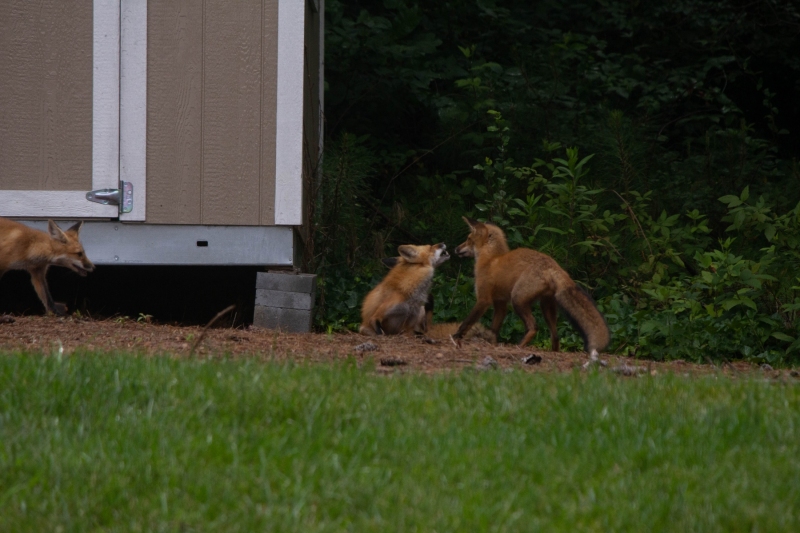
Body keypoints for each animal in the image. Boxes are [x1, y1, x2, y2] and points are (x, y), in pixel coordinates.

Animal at [451, 217, 610, 359]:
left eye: (468, 239)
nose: (455, 249)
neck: (490, 259)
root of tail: (554, 266)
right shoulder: (501, 304)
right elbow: (494, 328)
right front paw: (490, 341)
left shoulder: (484, 300)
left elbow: (468, 321)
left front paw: (456, 336)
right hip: (546, 306)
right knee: (555, 335)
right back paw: (553, 352)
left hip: (518, 299)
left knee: (534, 327)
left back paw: (519, 346)